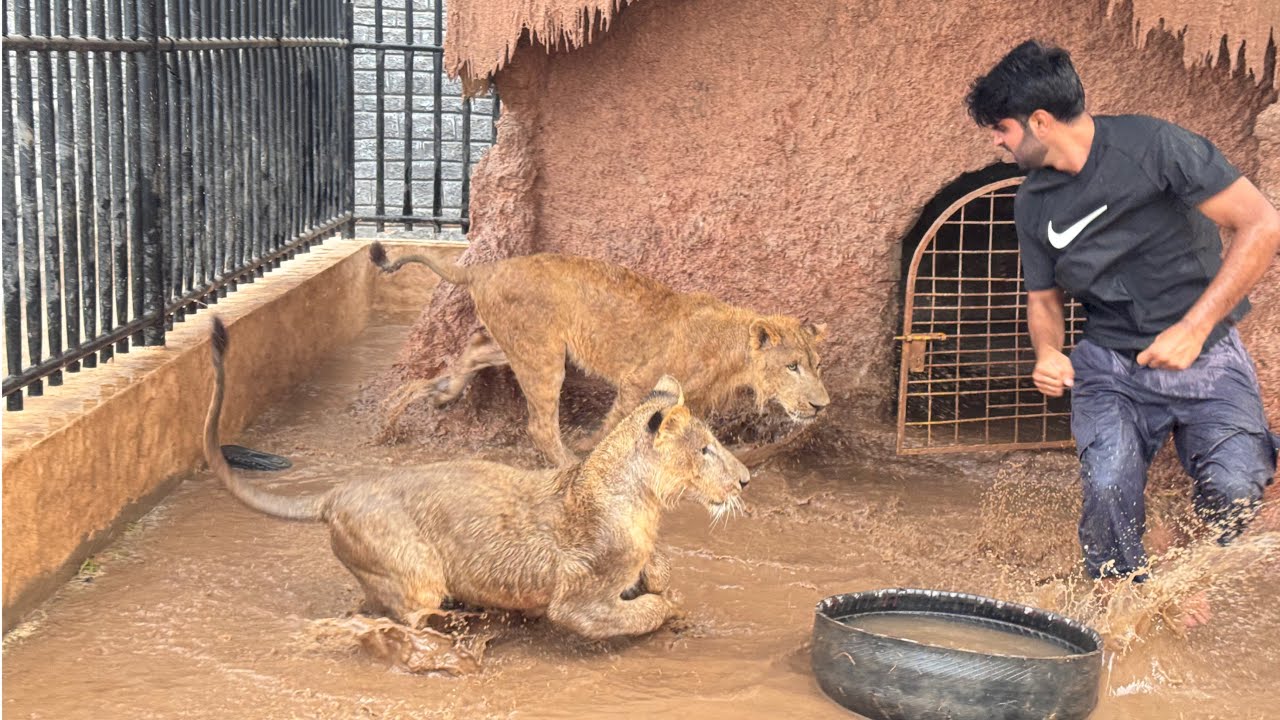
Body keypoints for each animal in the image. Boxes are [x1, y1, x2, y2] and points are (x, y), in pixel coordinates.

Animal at [203, 317, 749, 640]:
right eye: (705, 449)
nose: (745, 480)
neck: (645, 504)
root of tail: (337, 492)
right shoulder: (580, 603)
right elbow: (642, 609)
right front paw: (669, 610)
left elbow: (659, 573)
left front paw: (663, 583)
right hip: (416, 570)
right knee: (411, 614)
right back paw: (456, 626)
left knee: (368, 605)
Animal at [369, 242, 831, 466]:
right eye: (792, 366)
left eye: (817, 366)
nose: (822, 405)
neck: (731, 351)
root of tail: (485, 268)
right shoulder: (640, 380)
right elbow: (617, 423)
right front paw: (594, 446)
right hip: (542, 355)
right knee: (540, 426)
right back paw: (567, 463)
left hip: (517, 344)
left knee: (474, 349)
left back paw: (442, 393)